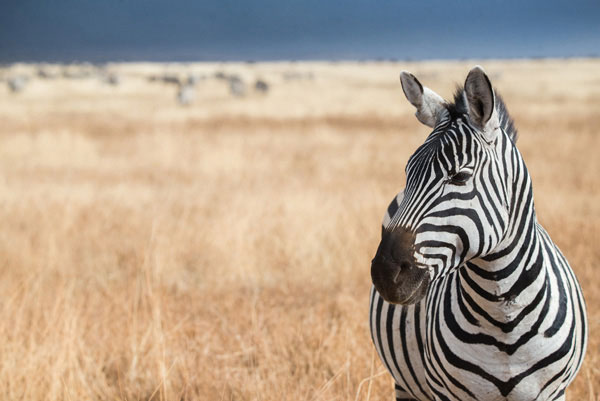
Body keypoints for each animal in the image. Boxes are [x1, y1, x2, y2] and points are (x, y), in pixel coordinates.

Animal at [370, 66, 584, 400]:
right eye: (407, 173)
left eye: (459, 176)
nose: (384, 272)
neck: (503, 317)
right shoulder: (447, 392)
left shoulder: (553, 391)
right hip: (405, 385)